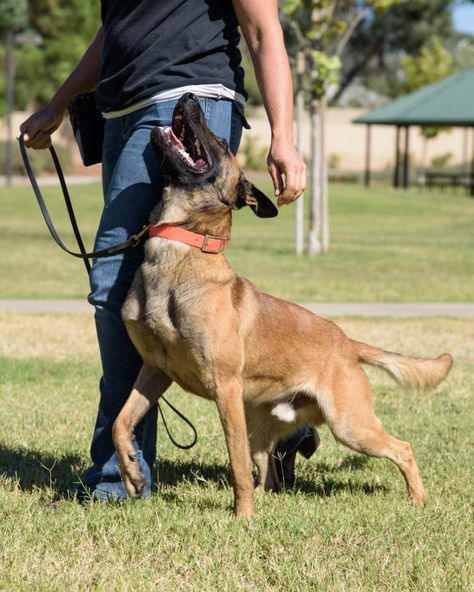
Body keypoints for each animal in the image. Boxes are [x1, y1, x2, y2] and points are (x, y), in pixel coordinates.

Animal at [113, 93, 454, 520]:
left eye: (221, 143)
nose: (189, 96)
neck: (182, 250)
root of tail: (346, 342)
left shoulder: (224, 388)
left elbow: (236, 462)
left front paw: (242, 517)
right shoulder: (155, 371)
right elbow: (120, 423)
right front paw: (132, 474)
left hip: (349, 424)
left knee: (402, 448)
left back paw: (418, 499)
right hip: (264, 421)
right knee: (270, 473)